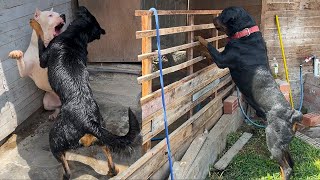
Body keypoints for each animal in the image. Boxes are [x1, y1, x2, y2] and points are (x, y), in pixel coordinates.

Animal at [29, 6, 140, 179]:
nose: (63, 15)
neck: (75, 35)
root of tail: (88, 121)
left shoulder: (43, 59)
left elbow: (40, 36)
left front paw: (35, 24)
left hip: (55, 140)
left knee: (67, 169)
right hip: (101, 137)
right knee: (109, 153)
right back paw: (112, 171)